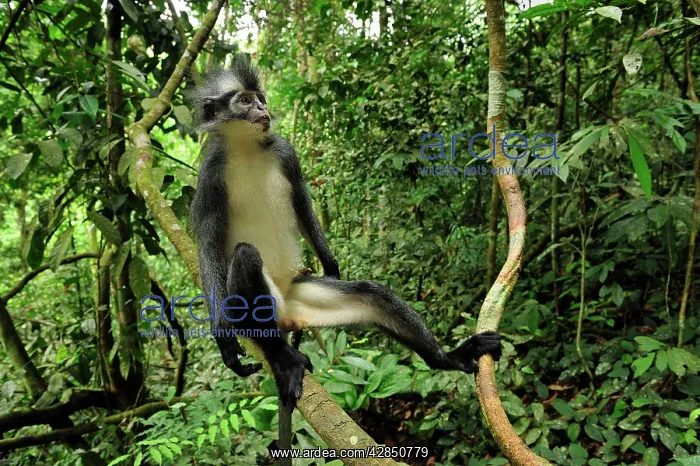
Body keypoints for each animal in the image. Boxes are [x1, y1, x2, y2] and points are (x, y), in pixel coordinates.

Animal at [188, 60, 502, 449]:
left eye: (259, 98)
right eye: (244, 101)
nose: (261, 108)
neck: (246, 149)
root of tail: (286, 313)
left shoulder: (285, 153)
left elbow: (302, 205)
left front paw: (332, 264)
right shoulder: (210, 176)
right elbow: (209, 244)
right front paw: (222, 335)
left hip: (299, 296)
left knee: (373, 296)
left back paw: (448, 359)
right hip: (263, 300)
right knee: (245, 260)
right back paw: (282, 358)